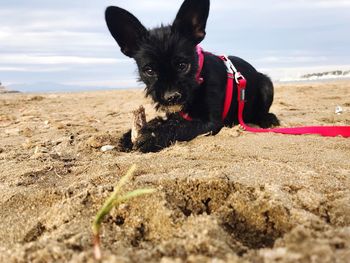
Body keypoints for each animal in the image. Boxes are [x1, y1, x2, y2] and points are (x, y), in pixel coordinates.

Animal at [104, 0, 278, 153]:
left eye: (183, 65)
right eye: (149, 70)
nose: (171, 97)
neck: (198, 78)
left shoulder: (210, 122)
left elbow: (181, 126)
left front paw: (153, 136)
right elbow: (170, 121)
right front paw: (132, 135)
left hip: (266, 84)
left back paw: (268, 119)